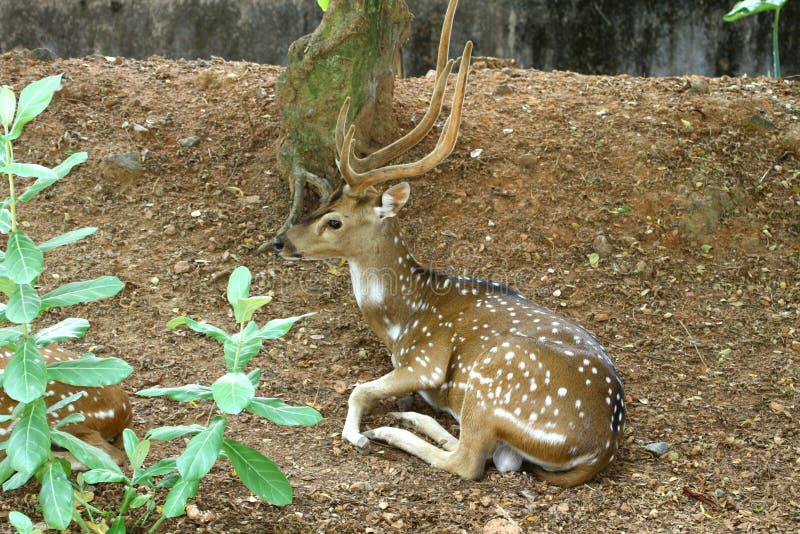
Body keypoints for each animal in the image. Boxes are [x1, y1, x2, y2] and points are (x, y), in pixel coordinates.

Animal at [274, 0, 624, 488]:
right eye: (324, 200)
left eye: (334, 221)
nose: (279, 241)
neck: (400, 321)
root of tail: (600, 448)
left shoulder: (427, 358)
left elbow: (359, 389)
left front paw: (356, 433)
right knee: (495, 457)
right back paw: (413, 420)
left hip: (494, 380)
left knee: (469, 462)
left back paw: (389, 431)